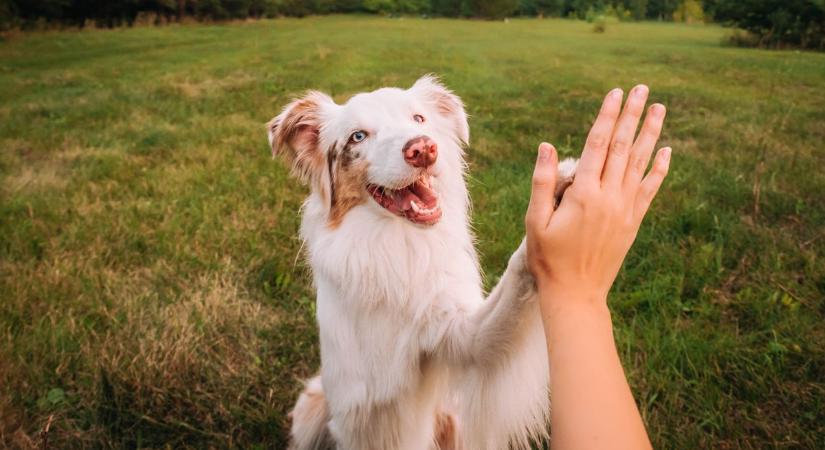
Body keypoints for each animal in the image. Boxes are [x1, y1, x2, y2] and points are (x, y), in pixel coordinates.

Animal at [268, 75, 576, 448]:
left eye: (418, 118)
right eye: (358, 136)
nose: (424, 149)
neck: (396, 245)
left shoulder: (460, 335)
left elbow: (514, 280)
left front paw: (557, 188)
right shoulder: (354, 411)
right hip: (310, 407)